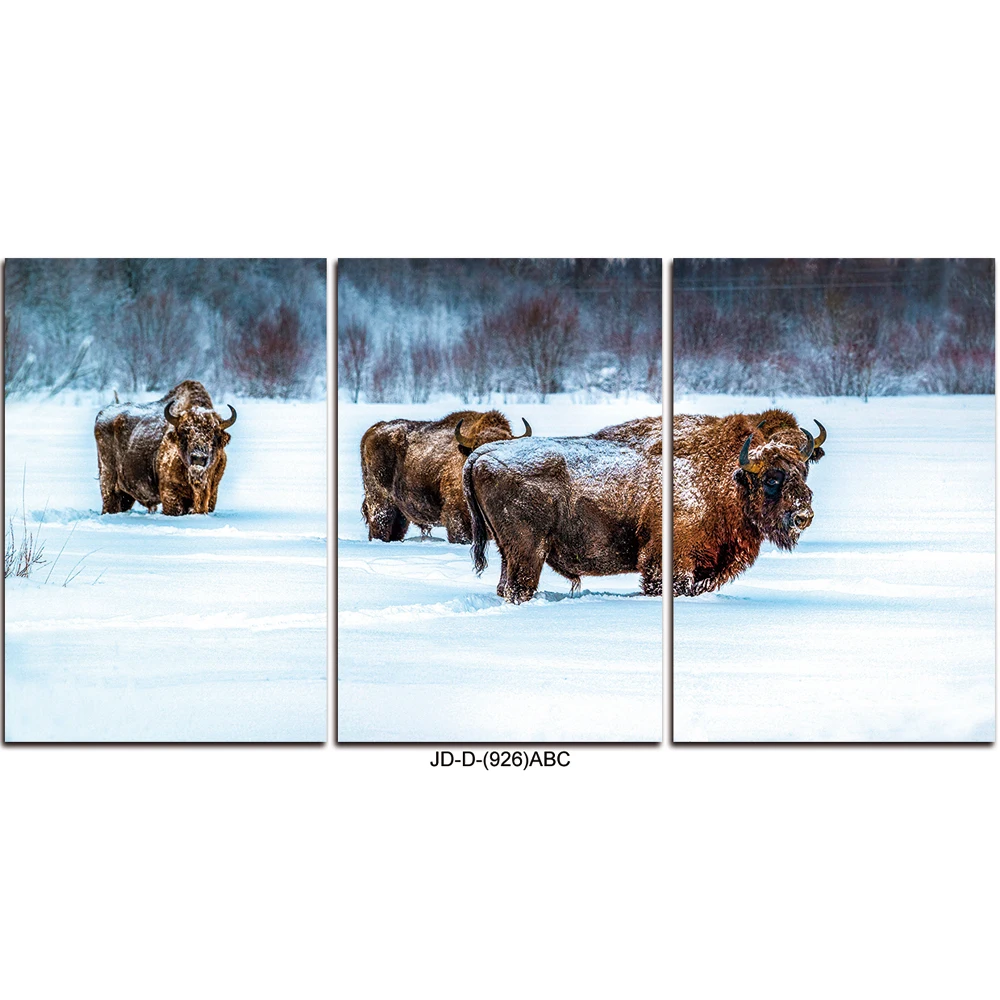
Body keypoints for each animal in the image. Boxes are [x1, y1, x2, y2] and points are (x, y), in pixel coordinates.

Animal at [94, 380, 237, 516]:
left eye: (215, 434)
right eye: (184, 433)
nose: (198, 458)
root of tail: (102, 414)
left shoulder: (212, 493)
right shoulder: (171, 493)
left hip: (126, 495)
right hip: (108, 481)